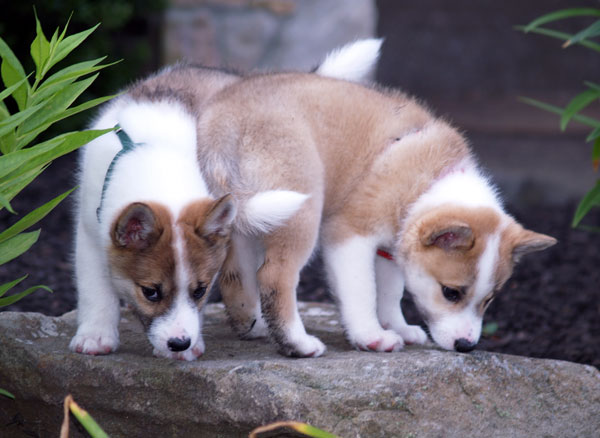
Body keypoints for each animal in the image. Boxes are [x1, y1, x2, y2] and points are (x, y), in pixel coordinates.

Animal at [69, 40, 380, 360]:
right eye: (150, 292)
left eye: (200, 290)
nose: (180, 343)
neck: (156, 155)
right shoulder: (90, 229)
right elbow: (95, 290)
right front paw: (95, 336)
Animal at [198, 58, 556, 358]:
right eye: (451, 293)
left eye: (490, 299)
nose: (466, 346)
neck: (426, 181)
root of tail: (220, 120)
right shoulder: (349, 237)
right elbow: (364, 291)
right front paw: (371, 336)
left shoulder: (392, 247)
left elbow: (391, 292)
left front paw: (398, 327)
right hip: (300, 208)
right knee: (275, 276)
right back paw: (297, 344)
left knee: (235, 270)